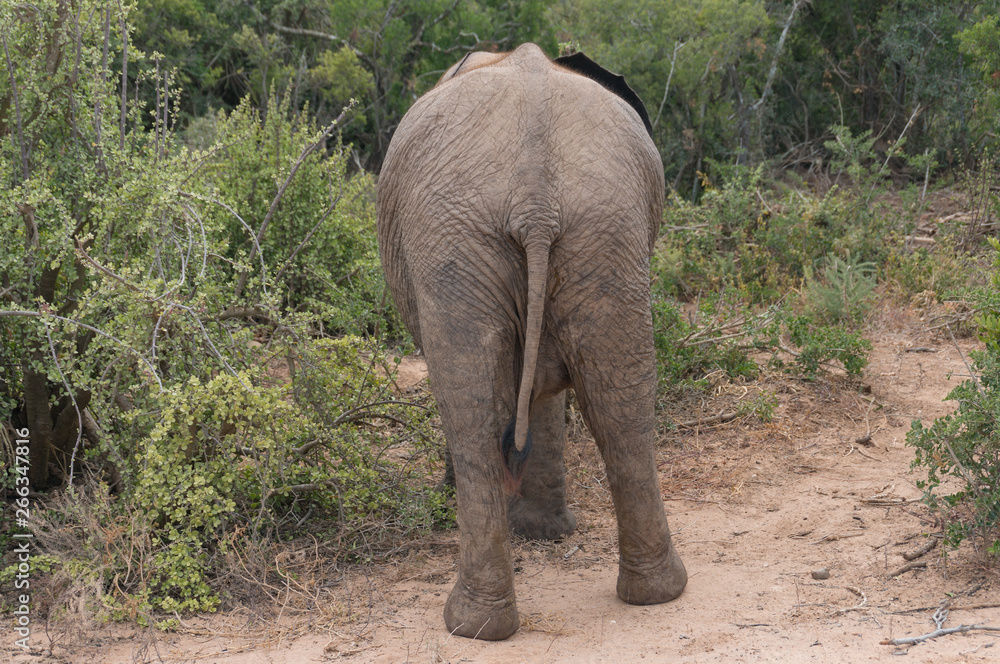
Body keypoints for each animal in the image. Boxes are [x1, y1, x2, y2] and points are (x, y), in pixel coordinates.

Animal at [376, 43, 687, 640]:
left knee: (471, 410)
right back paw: (656, 594)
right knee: (620, 400)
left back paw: (469, 623)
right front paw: (545, 534)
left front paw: (537, 532)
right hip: (601, 231)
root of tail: (535, 199)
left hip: (461, 236)